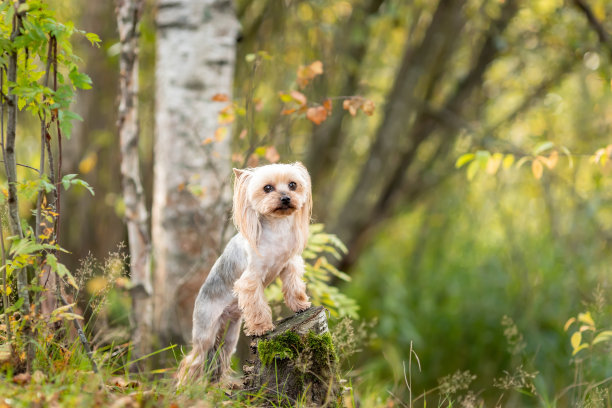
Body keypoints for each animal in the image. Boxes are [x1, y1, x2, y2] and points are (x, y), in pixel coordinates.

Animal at [176, 161, 310, 384]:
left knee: (222, 355)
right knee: (194, 360)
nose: (285, 198)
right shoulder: (251, 279)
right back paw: (185, 387)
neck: (277, 227)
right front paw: (262, 327)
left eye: (293, 185)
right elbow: (257, 305)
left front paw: (300, 305)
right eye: (267, 188)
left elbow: (293, 286)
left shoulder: (289, 264)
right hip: (205, 329)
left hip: (230, 334)